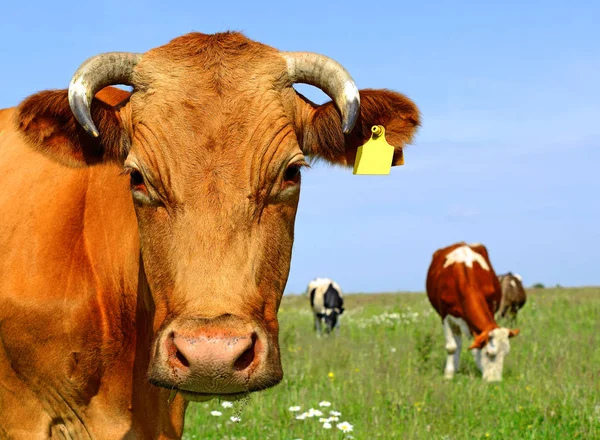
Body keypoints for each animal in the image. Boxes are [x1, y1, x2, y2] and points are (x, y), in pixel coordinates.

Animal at [424, 241, 516, 382]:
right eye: (489, 353)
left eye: (506, 354)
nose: (495, 381)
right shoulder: (445, 315)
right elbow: (451, 347)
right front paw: (448, 375)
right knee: (457, 343)